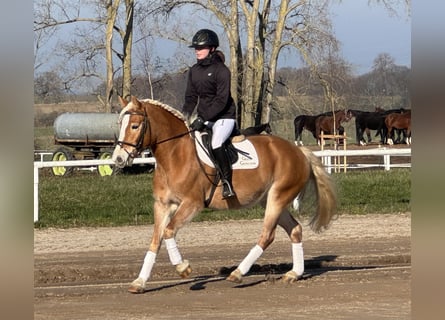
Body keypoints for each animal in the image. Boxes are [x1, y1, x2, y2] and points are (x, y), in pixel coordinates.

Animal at [112, 96, 336, 294]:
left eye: (134, 126)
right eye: (120, 124)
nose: (118, 159)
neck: (174, 154)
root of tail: (299, 153)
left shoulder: (191, 203)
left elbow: (168, 232)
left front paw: (183, 268)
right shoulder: (162, 205)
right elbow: (155, 240)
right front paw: (140, 282)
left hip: (277, 198)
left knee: (267, 235)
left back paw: (238, 273)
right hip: (271, 201)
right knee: (295, 230)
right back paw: (294, 273)